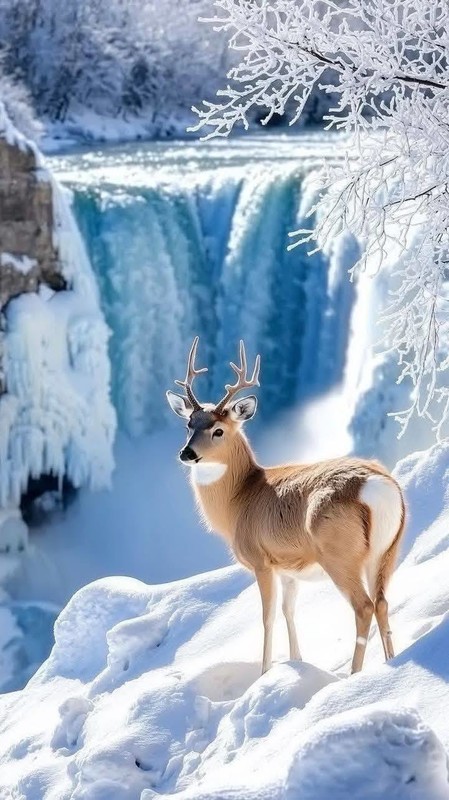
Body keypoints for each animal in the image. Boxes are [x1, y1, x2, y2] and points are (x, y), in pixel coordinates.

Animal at [166, 337, 405, 675]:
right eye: (189, 424)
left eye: (218, 430)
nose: (187, 453)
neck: (239, 499)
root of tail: (378, 486)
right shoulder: (289, 566)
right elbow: (288, 610)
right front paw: (296, 661)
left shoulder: (260, 559)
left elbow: (267, 617)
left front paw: (265, 672)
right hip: (387, 551)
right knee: (382, 602)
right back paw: (389, 663)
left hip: (339, 553)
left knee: (364, 606)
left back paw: (353, 674)